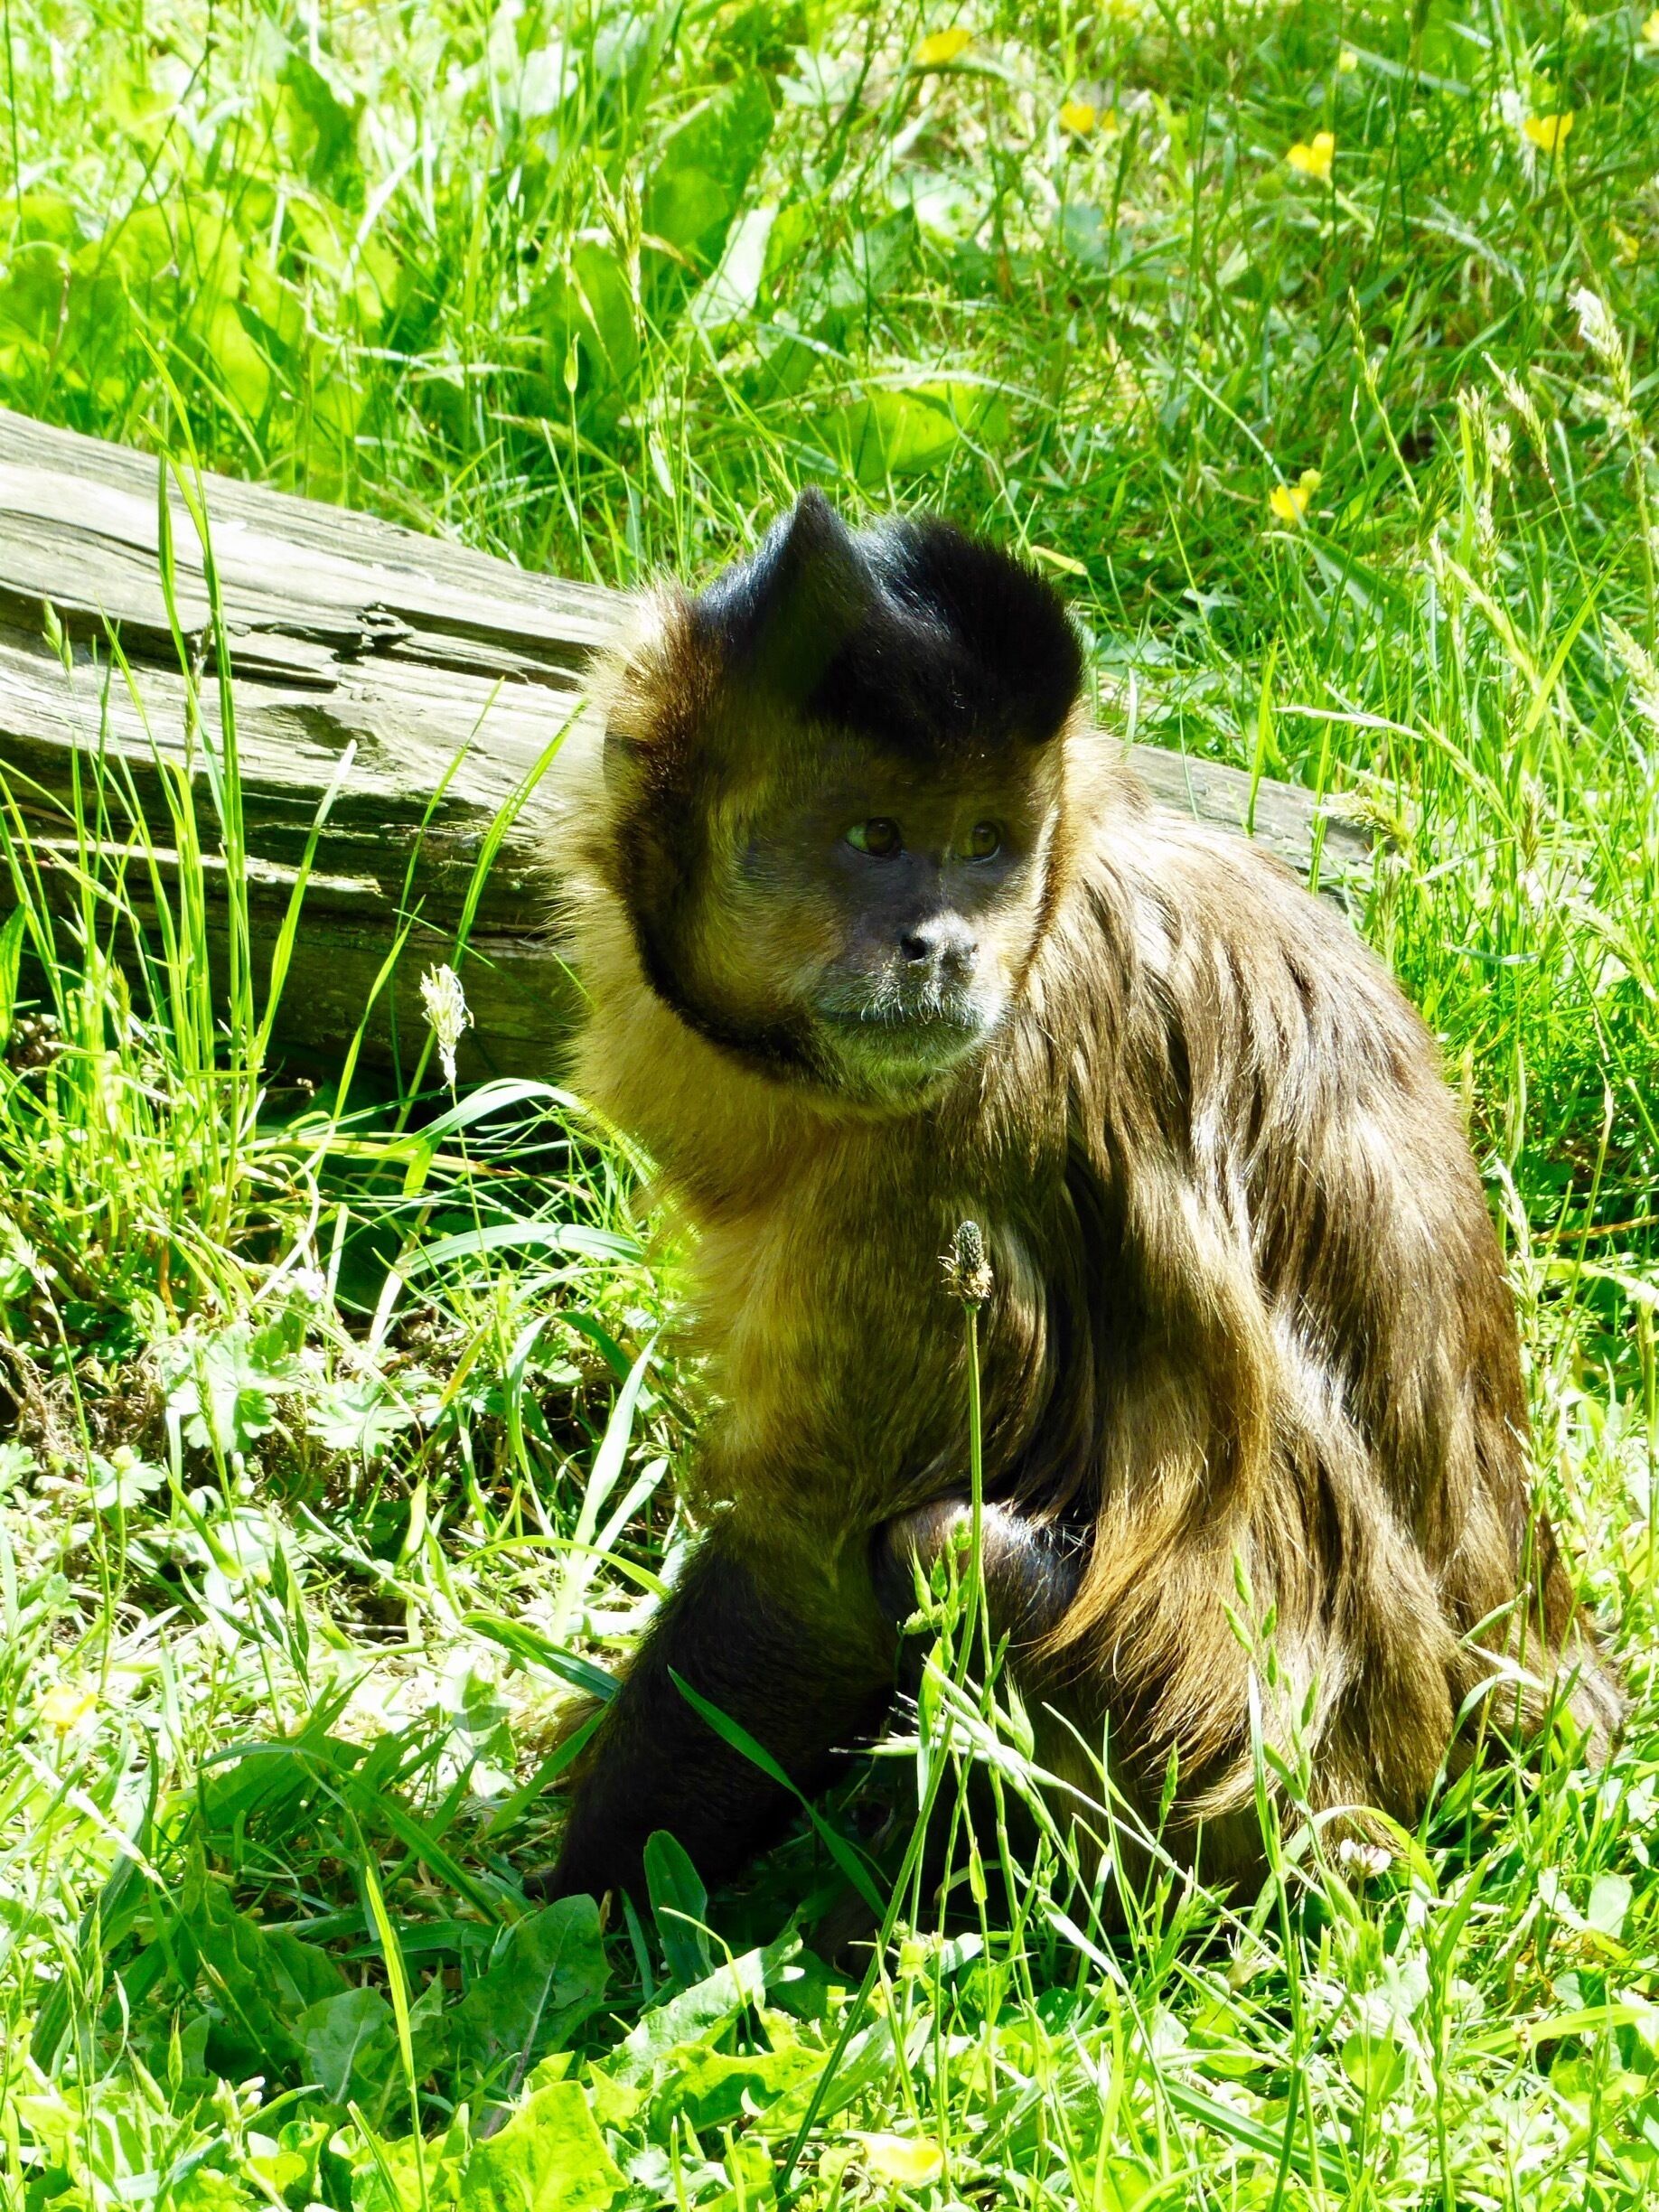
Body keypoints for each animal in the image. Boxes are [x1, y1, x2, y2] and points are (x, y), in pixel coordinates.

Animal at [526, 488, 1621, 1908]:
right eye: (875, 838)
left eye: (985, 847)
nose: (943, 946)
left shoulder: (952, 1138)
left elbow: (807, 1584)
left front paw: (570, 1917)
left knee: (943, 1552)